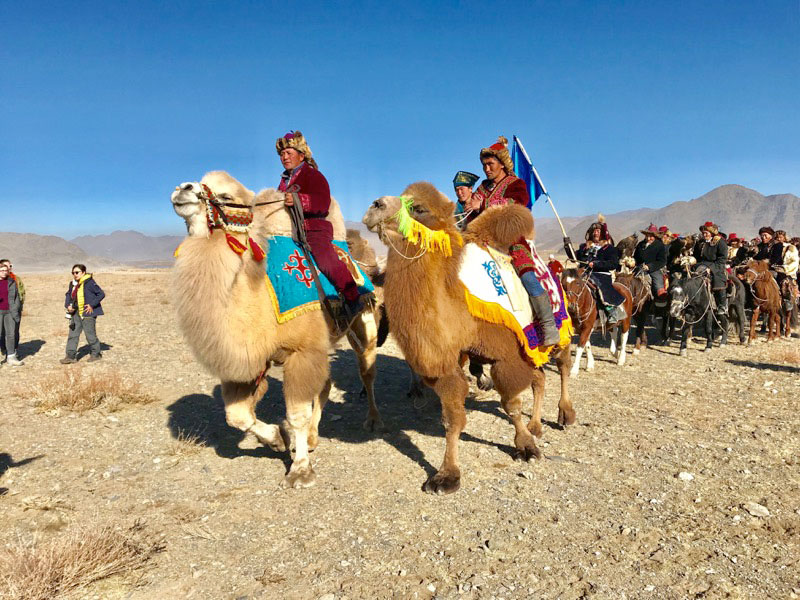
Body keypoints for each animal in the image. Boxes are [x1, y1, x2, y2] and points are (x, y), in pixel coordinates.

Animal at [171, 170, 382, 488]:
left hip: (363, 322)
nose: (181, 188)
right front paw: (277, 439)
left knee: (366, 370)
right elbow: (236, 415)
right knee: (325, 384)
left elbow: (296, 414)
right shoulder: (253, 358)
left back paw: (372, 420)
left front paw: (300, 471)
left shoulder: (301, 351)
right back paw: (312, 438)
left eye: (226, 196)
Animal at [362, 185, 576, 494]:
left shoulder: (506, 355)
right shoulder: (449, 362)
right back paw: (536, 425)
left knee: (562, 367)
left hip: (560, 331)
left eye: (419, 208)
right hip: (530, 347)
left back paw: (565, 414)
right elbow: (452, 417)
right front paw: (447, 475)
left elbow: (511, 405)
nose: (376, 205)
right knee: (539, 378)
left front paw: (525, 447)